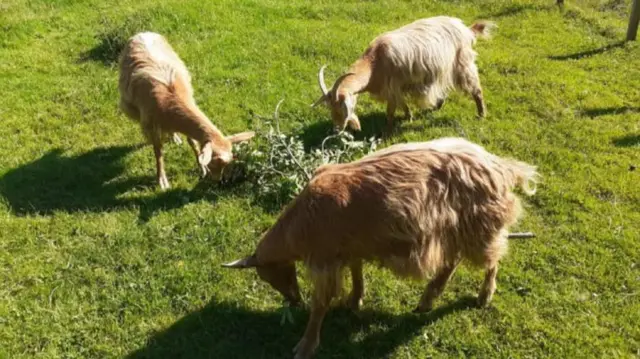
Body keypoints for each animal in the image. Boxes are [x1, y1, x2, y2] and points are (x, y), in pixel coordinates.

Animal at [119, 32, 254, 190]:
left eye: (229, 163)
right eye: (214, 162)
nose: (218, 181)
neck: (170, 100)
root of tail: (142, 33)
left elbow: (192, 142)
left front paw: (202, 168)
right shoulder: (150, 124)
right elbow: (158, 151)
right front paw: (162, 180)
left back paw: (175, 137)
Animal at [312, 16, 492, 136]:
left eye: (341, 107)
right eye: (329, 108)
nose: (336, 130)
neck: (375, 61)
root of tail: (466, 29)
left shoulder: (392, 86)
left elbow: (391, 111)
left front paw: (387, 132)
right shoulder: (396, 88)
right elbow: (402, 103)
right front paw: (409, 116)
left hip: (463, 63)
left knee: (476, 89)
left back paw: (481, 115)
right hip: (444, 68)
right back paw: (436, 106)